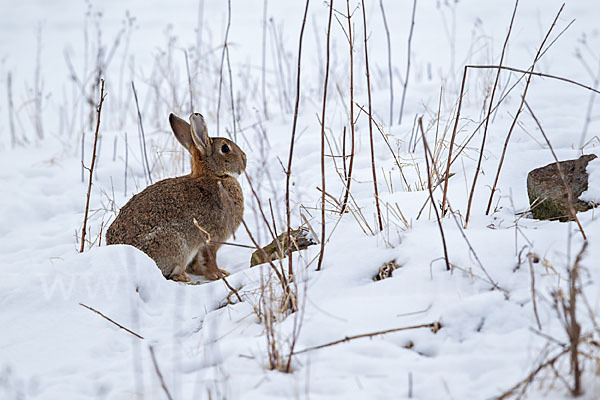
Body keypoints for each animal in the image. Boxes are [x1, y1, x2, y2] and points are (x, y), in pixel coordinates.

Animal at [108, 112, 246, 282]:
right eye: (225, 148)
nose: (245, 159)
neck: (213, 176)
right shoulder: (212, 238)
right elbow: (209, 259)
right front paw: (218, 275)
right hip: (176, 245)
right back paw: (187, 280)